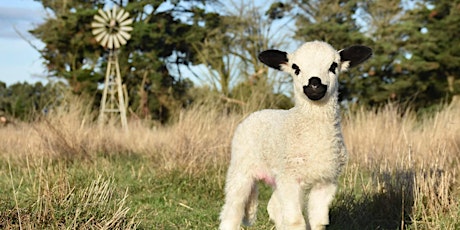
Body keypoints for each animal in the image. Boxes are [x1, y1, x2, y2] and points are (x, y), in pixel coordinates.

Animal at [219, 40, 374, 229]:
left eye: (333, 66)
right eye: (295, 68)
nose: (314, 84)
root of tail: (257, 113)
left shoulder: (325, 182)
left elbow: (318, 222)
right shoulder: (290, 179)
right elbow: (296, 221)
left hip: (277, 177)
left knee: (273, 207)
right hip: (242, 168)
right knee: (232, 209)